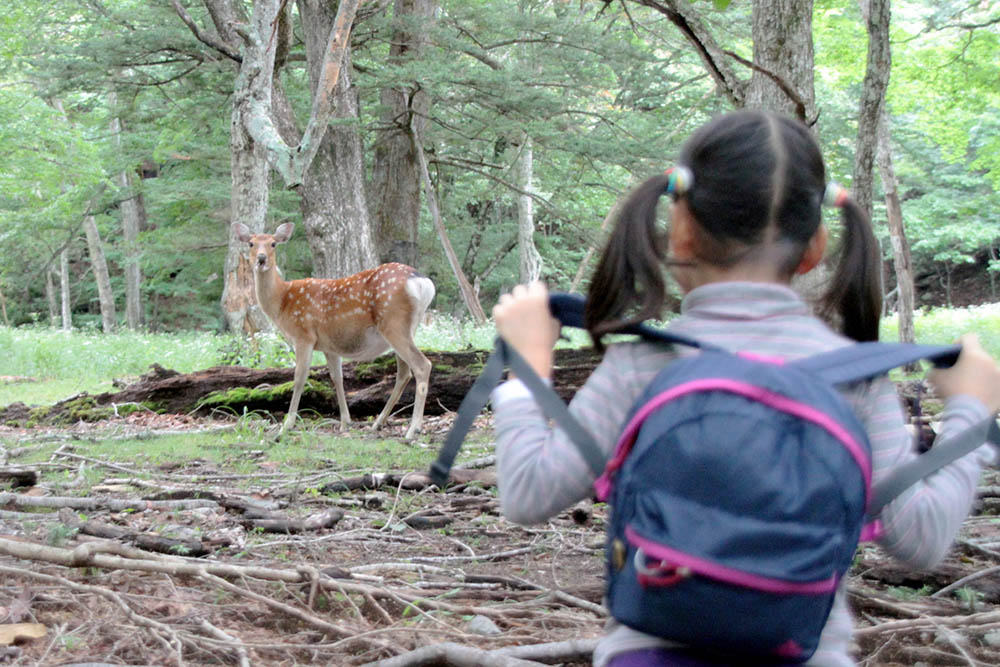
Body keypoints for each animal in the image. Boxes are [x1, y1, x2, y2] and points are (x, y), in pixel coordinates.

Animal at [236, 224, 440, 440]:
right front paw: (345, 422)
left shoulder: (304, 335)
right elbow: (337, 378)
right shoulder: (328, 346)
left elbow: (299, 378)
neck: (282, 301)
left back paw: (413, 429)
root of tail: (423, 283)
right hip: (406, 328)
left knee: (422, 365)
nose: (261, 258)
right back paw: (378, 423)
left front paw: (286, 426)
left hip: (393, 323)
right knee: (404, 372)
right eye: (251, 243)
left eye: (273, 243)